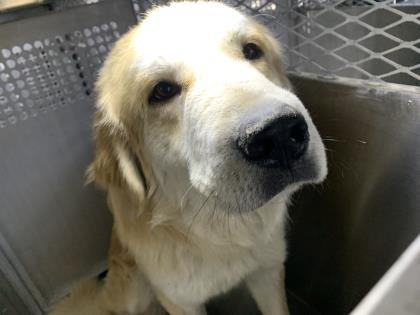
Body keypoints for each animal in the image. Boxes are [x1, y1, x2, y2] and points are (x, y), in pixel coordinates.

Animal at [51, 1, 328, 314]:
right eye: (162, 90)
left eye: (252, 50)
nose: (278, 135)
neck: (220, 227)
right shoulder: (179, 300)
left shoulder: (268, 270)